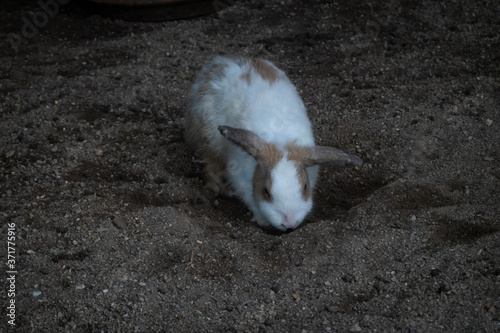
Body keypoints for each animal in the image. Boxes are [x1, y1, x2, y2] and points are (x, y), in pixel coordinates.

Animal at [186, 55, 362, 230]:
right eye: (266, 191)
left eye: (305, 187)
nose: (289, 223)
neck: (281, 142)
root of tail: (221, 62)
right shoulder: (241, 180)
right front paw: (262, 220)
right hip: (209, 139)